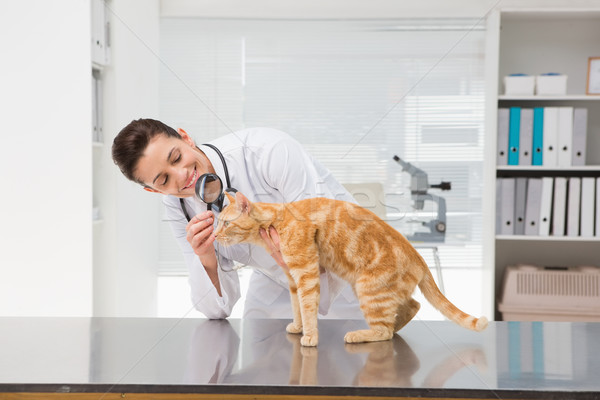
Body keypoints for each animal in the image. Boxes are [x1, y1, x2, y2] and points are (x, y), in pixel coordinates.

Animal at [216, 192, 488, 346]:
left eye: (226, 223)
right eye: (218, 223)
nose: (215, 235)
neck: (277, 219)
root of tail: (418, 256)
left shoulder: (306, 274)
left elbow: (308, 307)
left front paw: (310, 337)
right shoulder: (293, 279)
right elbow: (297, 307)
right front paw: (298, 326)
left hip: (369, 290)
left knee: (385, 331)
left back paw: (361, 334)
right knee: (412, 306)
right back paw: (395, 326)